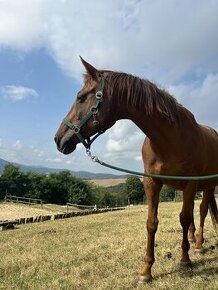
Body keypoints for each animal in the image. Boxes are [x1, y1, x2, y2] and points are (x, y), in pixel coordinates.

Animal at [55, 57, 218, 284]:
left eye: (81, 97)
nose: (58, 139)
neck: (171, 138)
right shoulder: (152, 183)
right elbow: (152, 223)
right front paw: (146, 271)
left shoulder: (190, 184)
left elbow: (185, 219)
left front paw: (184, 261)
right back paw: (194, 240)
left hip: (208, 186)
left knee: (201, 212)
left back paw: (199, 245)